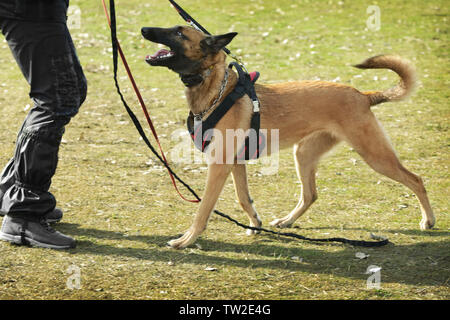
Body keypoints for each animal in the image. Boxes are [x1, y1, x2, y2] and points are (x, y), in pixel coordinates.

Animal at [142, 25, 436, 250]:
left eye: (179, 32)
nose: (145, 29)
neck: (216, 90)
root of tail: (363, 95)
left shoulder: (220, 165)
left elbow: (204, 208)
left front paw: (186, 239)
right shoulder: (235, 163)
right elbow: (243, 198)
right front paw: (255, 224)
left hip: (374, 154)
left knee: (416, 180)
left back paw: (429, 220)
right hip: (304, 154)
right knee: (310, 194)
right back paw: (287, 221)